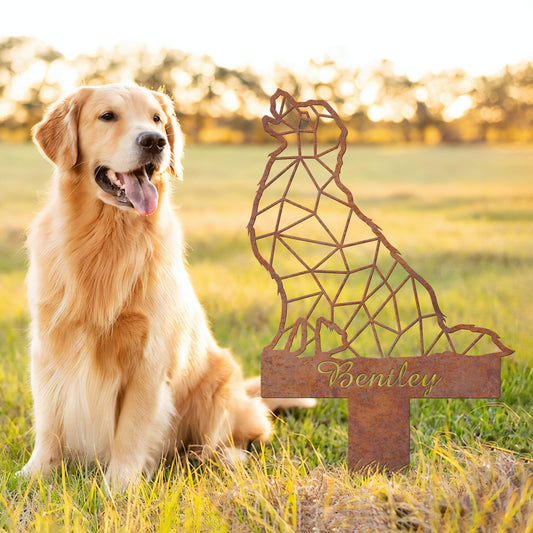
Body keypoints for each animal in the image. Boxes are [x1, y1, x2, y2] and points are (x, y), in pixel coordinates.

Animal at [21, 82, 312, 486]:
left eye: (157, 119)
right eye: (107, 116)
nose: (155, 141)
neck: (106, 237)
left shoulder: (149, 357)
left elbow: (130, 429)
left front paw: (120, 486)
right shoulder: (49, 346)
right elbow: (49, 421)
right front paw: (35, 474)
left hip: (219, 382)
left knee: (238, 436)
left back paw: (223, 457)